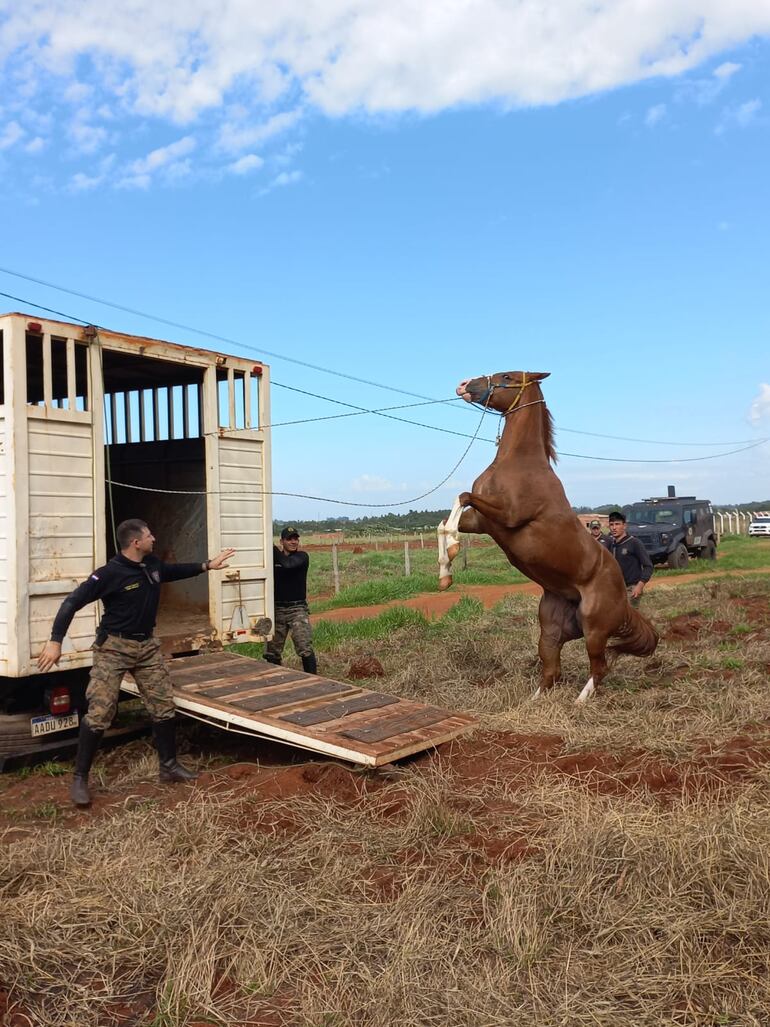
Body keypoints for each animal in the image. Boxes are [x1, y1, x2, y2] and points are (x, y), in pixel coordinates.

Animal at [437, 373, 661, 702]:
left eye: (507, 376)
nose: (464, 384)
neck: (518, 464)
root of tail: (624, 602)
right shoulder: (483, 522)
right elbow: (444, 521)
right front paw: (444, 574)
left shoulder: (507, 515)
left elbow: (462, 497)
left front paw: (452, 552)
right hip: (551, 628)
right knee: (552, 671)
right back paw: (531, 702)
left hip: (594, 628)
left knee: (599, 668)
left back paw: (578, 703)